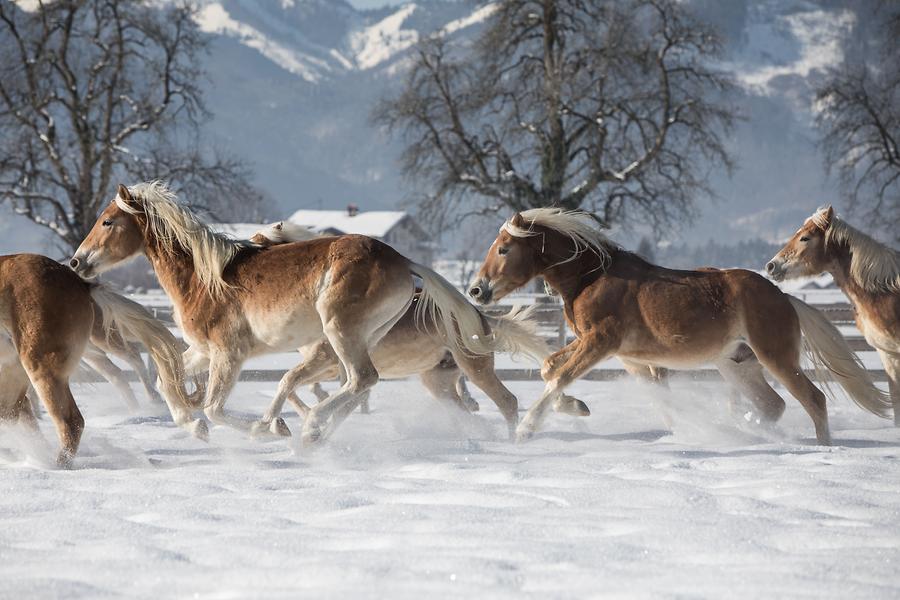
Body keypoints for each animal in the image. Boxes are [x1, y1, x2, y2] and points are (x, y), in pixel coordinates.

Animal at [468, 209, 888, 442]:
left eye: (504, 248)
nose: (477, 290)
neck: (591, 277)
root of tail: (785, 297)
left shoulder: (601, 341)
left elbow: (559, 375)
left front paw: (526, 430)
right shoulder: (596, 344)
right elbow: (548, 367)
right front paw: (577, 407)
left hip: (776, 358)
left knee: (813, 400)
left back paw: (821, 447)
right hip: (736, 364)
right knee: (774, 405)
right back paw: (747, 431)